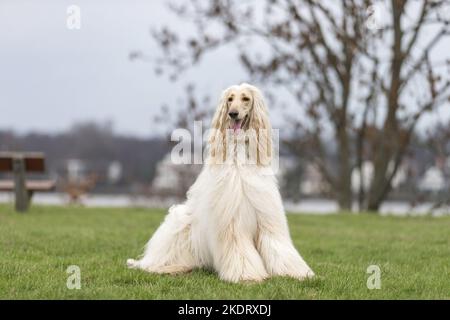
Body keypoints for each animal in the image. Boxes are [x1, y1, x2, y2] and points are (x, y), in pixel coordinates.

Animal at [128, 83, 314, 282]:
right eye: (230, 99)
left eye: (246, 98)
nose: (232, 114)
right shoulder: (232, 225)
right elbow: (239, 250)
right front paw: (245, 275)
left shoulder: (267, 220)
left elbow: (277, 246)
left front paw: (295, 272)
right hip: (179, 223)